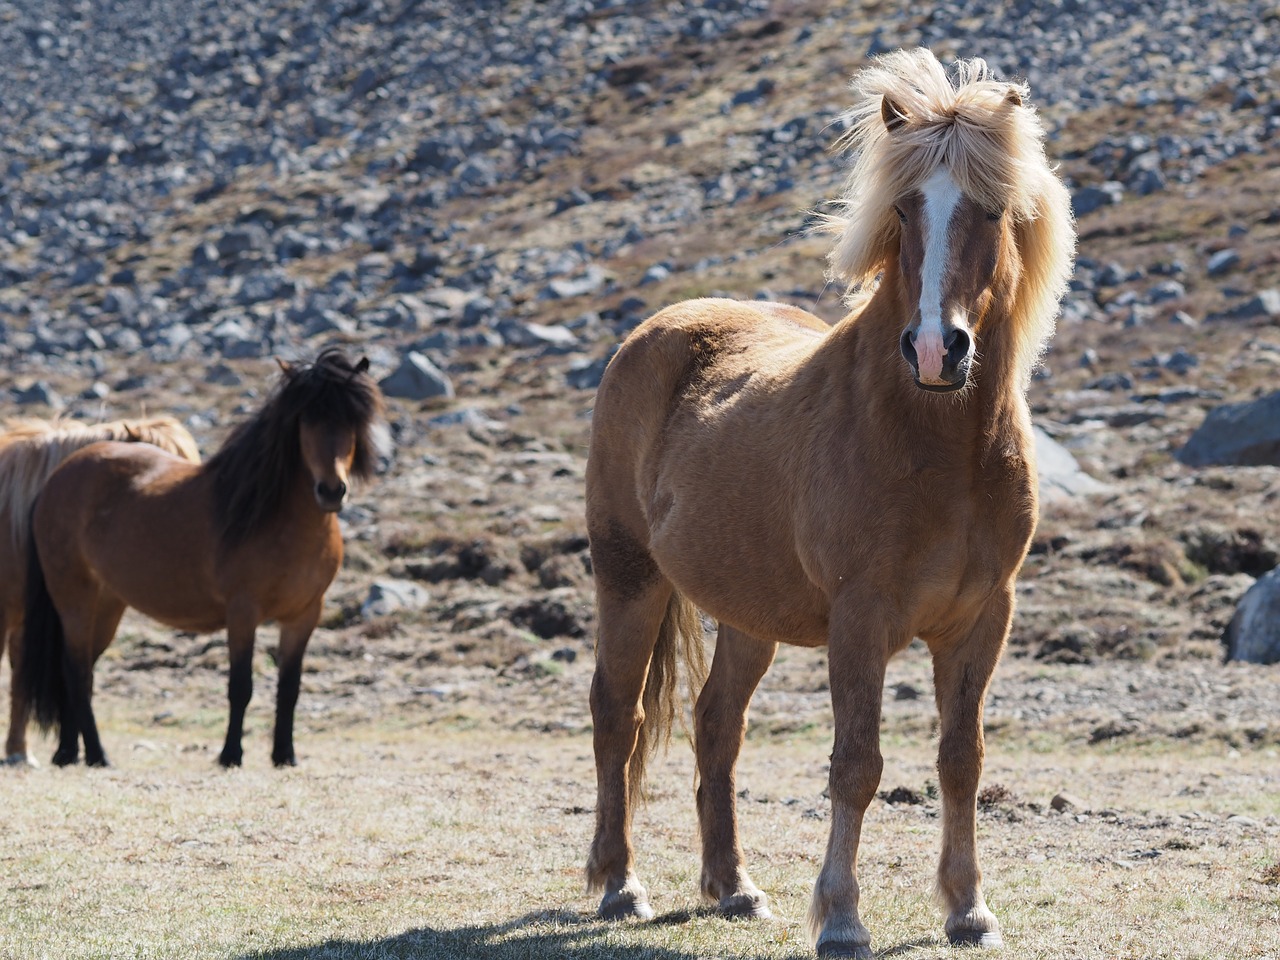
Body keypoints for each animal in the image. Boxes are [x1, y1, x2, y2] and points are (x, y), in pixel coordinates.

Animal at [586, 47, 1075, 957]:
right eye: (906, 208)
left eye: (991, 210)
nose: (936, 349)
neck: (938, 447)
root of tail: (656, 330)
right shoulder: (862, 617)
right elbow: (857, 764)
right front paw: (843, 917)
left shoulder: (983, 618)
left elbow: (962, 759)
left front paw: (968, 908)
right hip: (628, 577)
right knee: (617, 716)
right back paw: (619, 886)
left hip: (746, 614)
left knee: (716, 727)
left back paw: (734, 888)